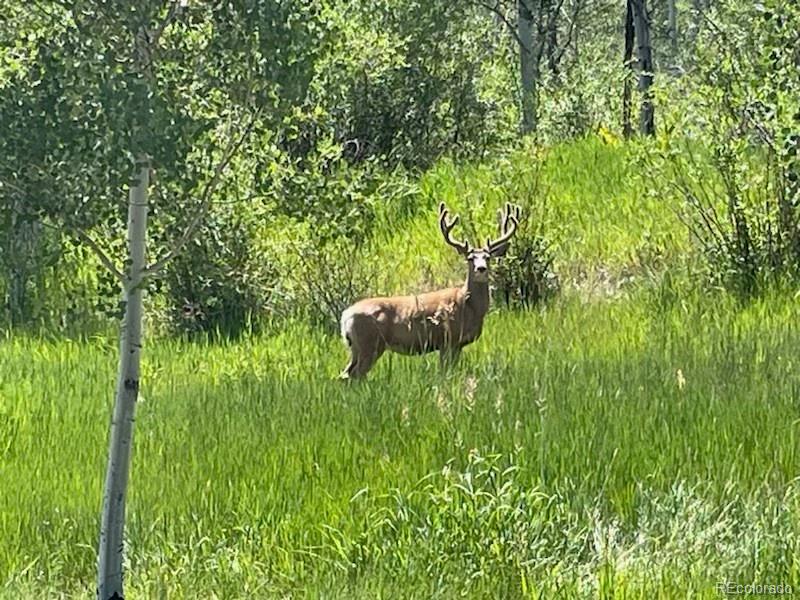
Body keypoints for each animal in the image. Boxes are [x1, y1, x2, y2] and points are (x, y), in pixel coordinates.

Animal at [336, 202, 520, 380]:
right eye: (470, 258)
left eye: (487, 257)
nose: (481, 268)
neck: (469, 306)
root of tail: (346, 315)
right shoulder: (448, 340)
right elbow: (445, 373)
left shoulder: (458, 345)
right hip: (369, 343)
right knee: (355, 374)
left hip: (356, 347)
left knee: (345, 374)